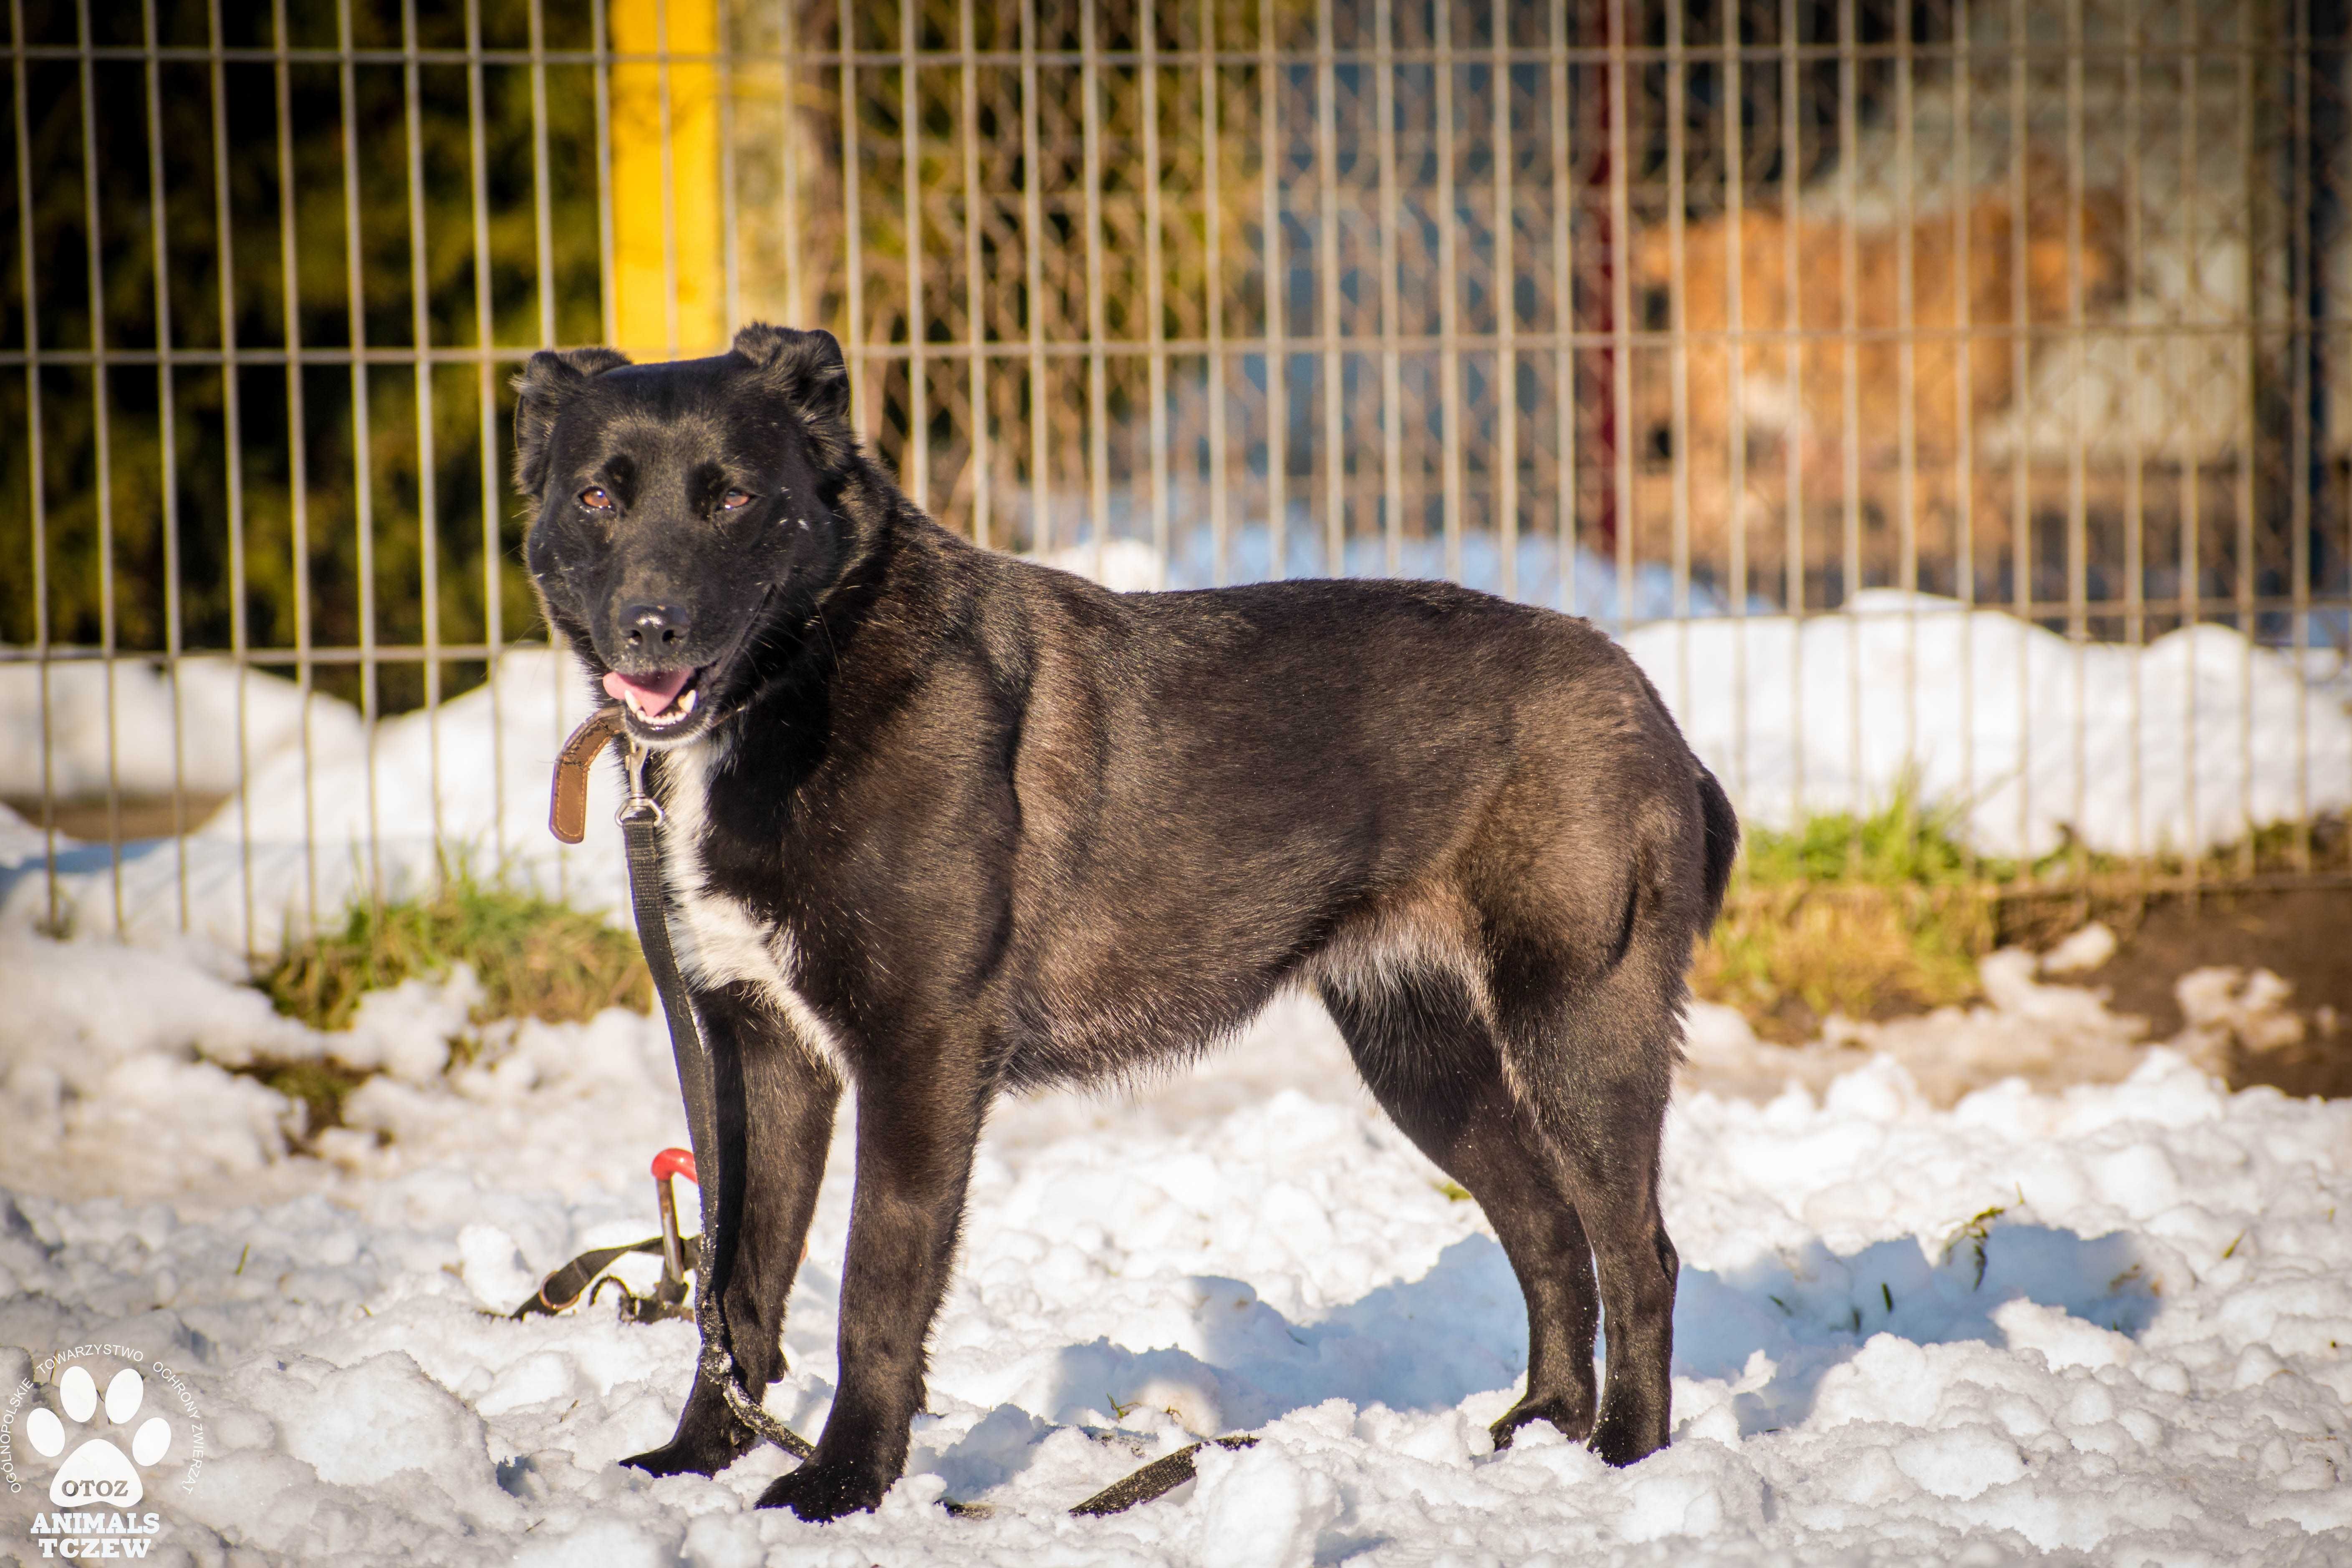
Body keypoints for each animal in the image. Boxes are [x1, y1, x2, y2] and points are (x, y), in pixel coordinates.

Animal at [515, 322, 1740, 1523]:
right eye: (597, 495)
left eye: (731, 496)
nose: (650, 628)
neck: (812, 667)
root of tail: (1636, 685)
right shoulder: (759, 1053)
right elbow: (738, 1289)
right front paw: (699, 1455)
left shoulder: (918, 1058)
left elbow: (874, 1287)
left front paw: (842, 1482)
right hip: (1421, 1058)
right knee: (1549, 1230)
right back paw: (1542, 1427)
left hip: (1577, 1028)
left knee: (1639, 1253)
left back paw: (1623, 1454)